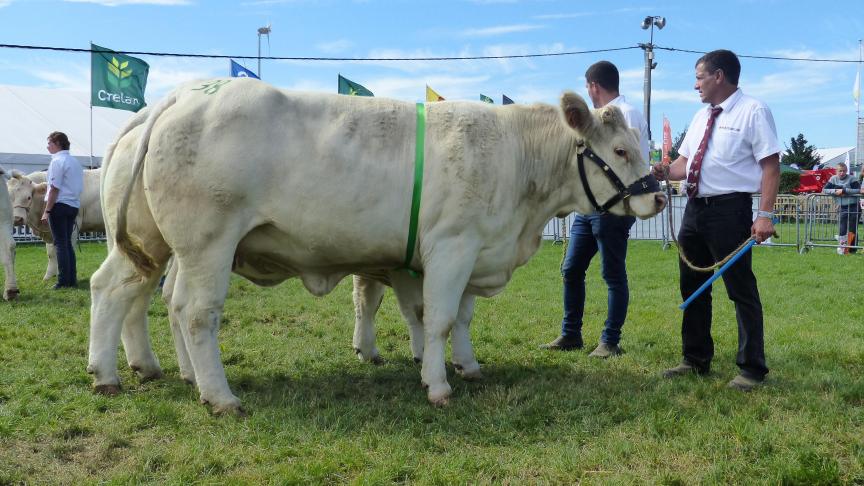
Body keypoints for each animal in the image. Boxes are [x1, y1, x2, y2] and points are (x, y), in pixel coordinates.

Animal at [88, 79, 664, 414]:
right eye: (620, 150)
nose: (659, 196)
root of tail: (183, 95)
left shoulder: (473, 250)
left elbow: (459, 318)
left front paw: (468, 365)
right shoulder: (452, 246)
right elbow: (437, 319)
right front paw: (438, 385)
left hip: (153, 242)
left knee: (120, 290)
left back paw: (119, 373)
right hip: (207, 241)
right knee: (193, 311)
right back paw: (218, 395)